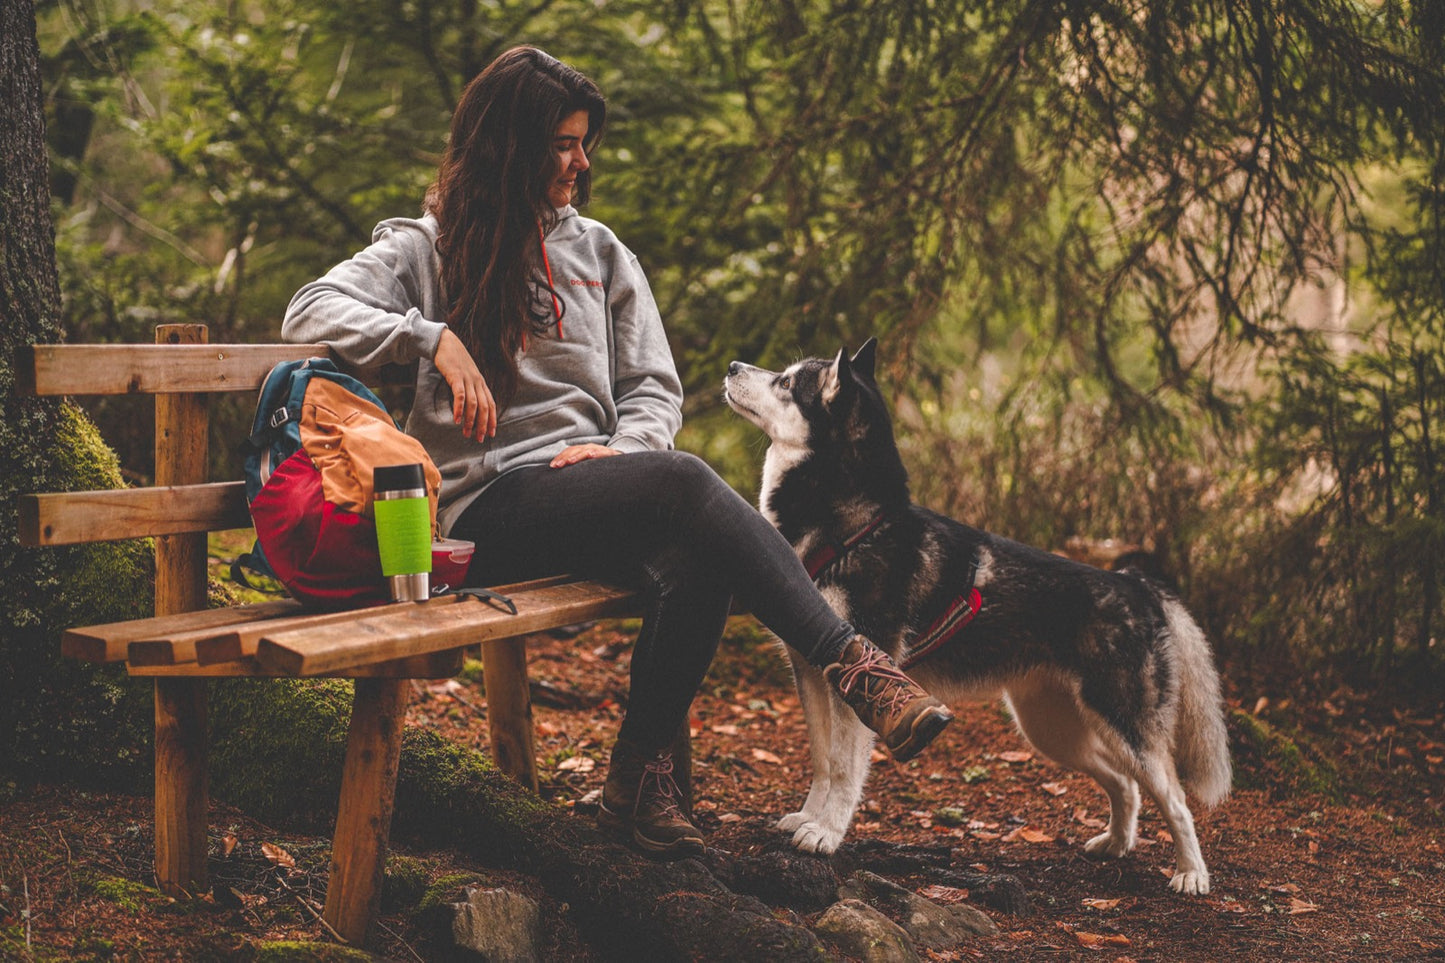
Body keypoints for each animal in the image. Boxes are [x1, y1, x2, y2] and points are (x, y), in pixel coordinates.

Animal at [722, 339, 1231, 890]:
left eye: (787, 382)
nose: (731, 366)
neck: (850, 529)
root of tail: (1136, 582)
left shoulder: (858, 679)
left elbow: (842, 768)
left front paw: (827, 833)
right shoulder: (812, 675)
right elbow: (821, 761)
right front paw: (808, 817)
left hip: (1124, 726)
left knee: (1176, 801)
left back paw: (1192, 874)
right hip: (1052, 729)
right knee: (1125, 784)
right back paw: (1116, 843)